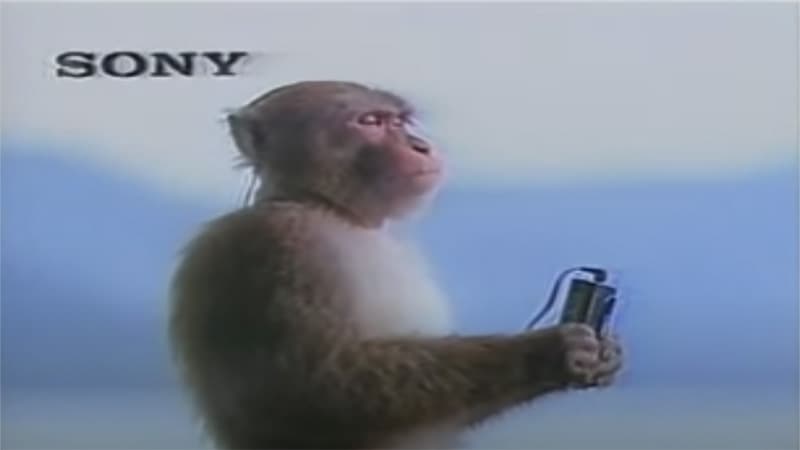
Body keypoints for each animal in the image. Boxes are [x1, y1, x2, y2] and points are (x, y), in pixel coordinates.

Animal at [168, 80, 623, 450]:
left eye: (401, 121)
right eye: (370, 121)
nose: (420, 145)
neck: (328, 209)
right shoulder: (275, 245)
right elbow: (308, 393)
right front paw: (551, 350)